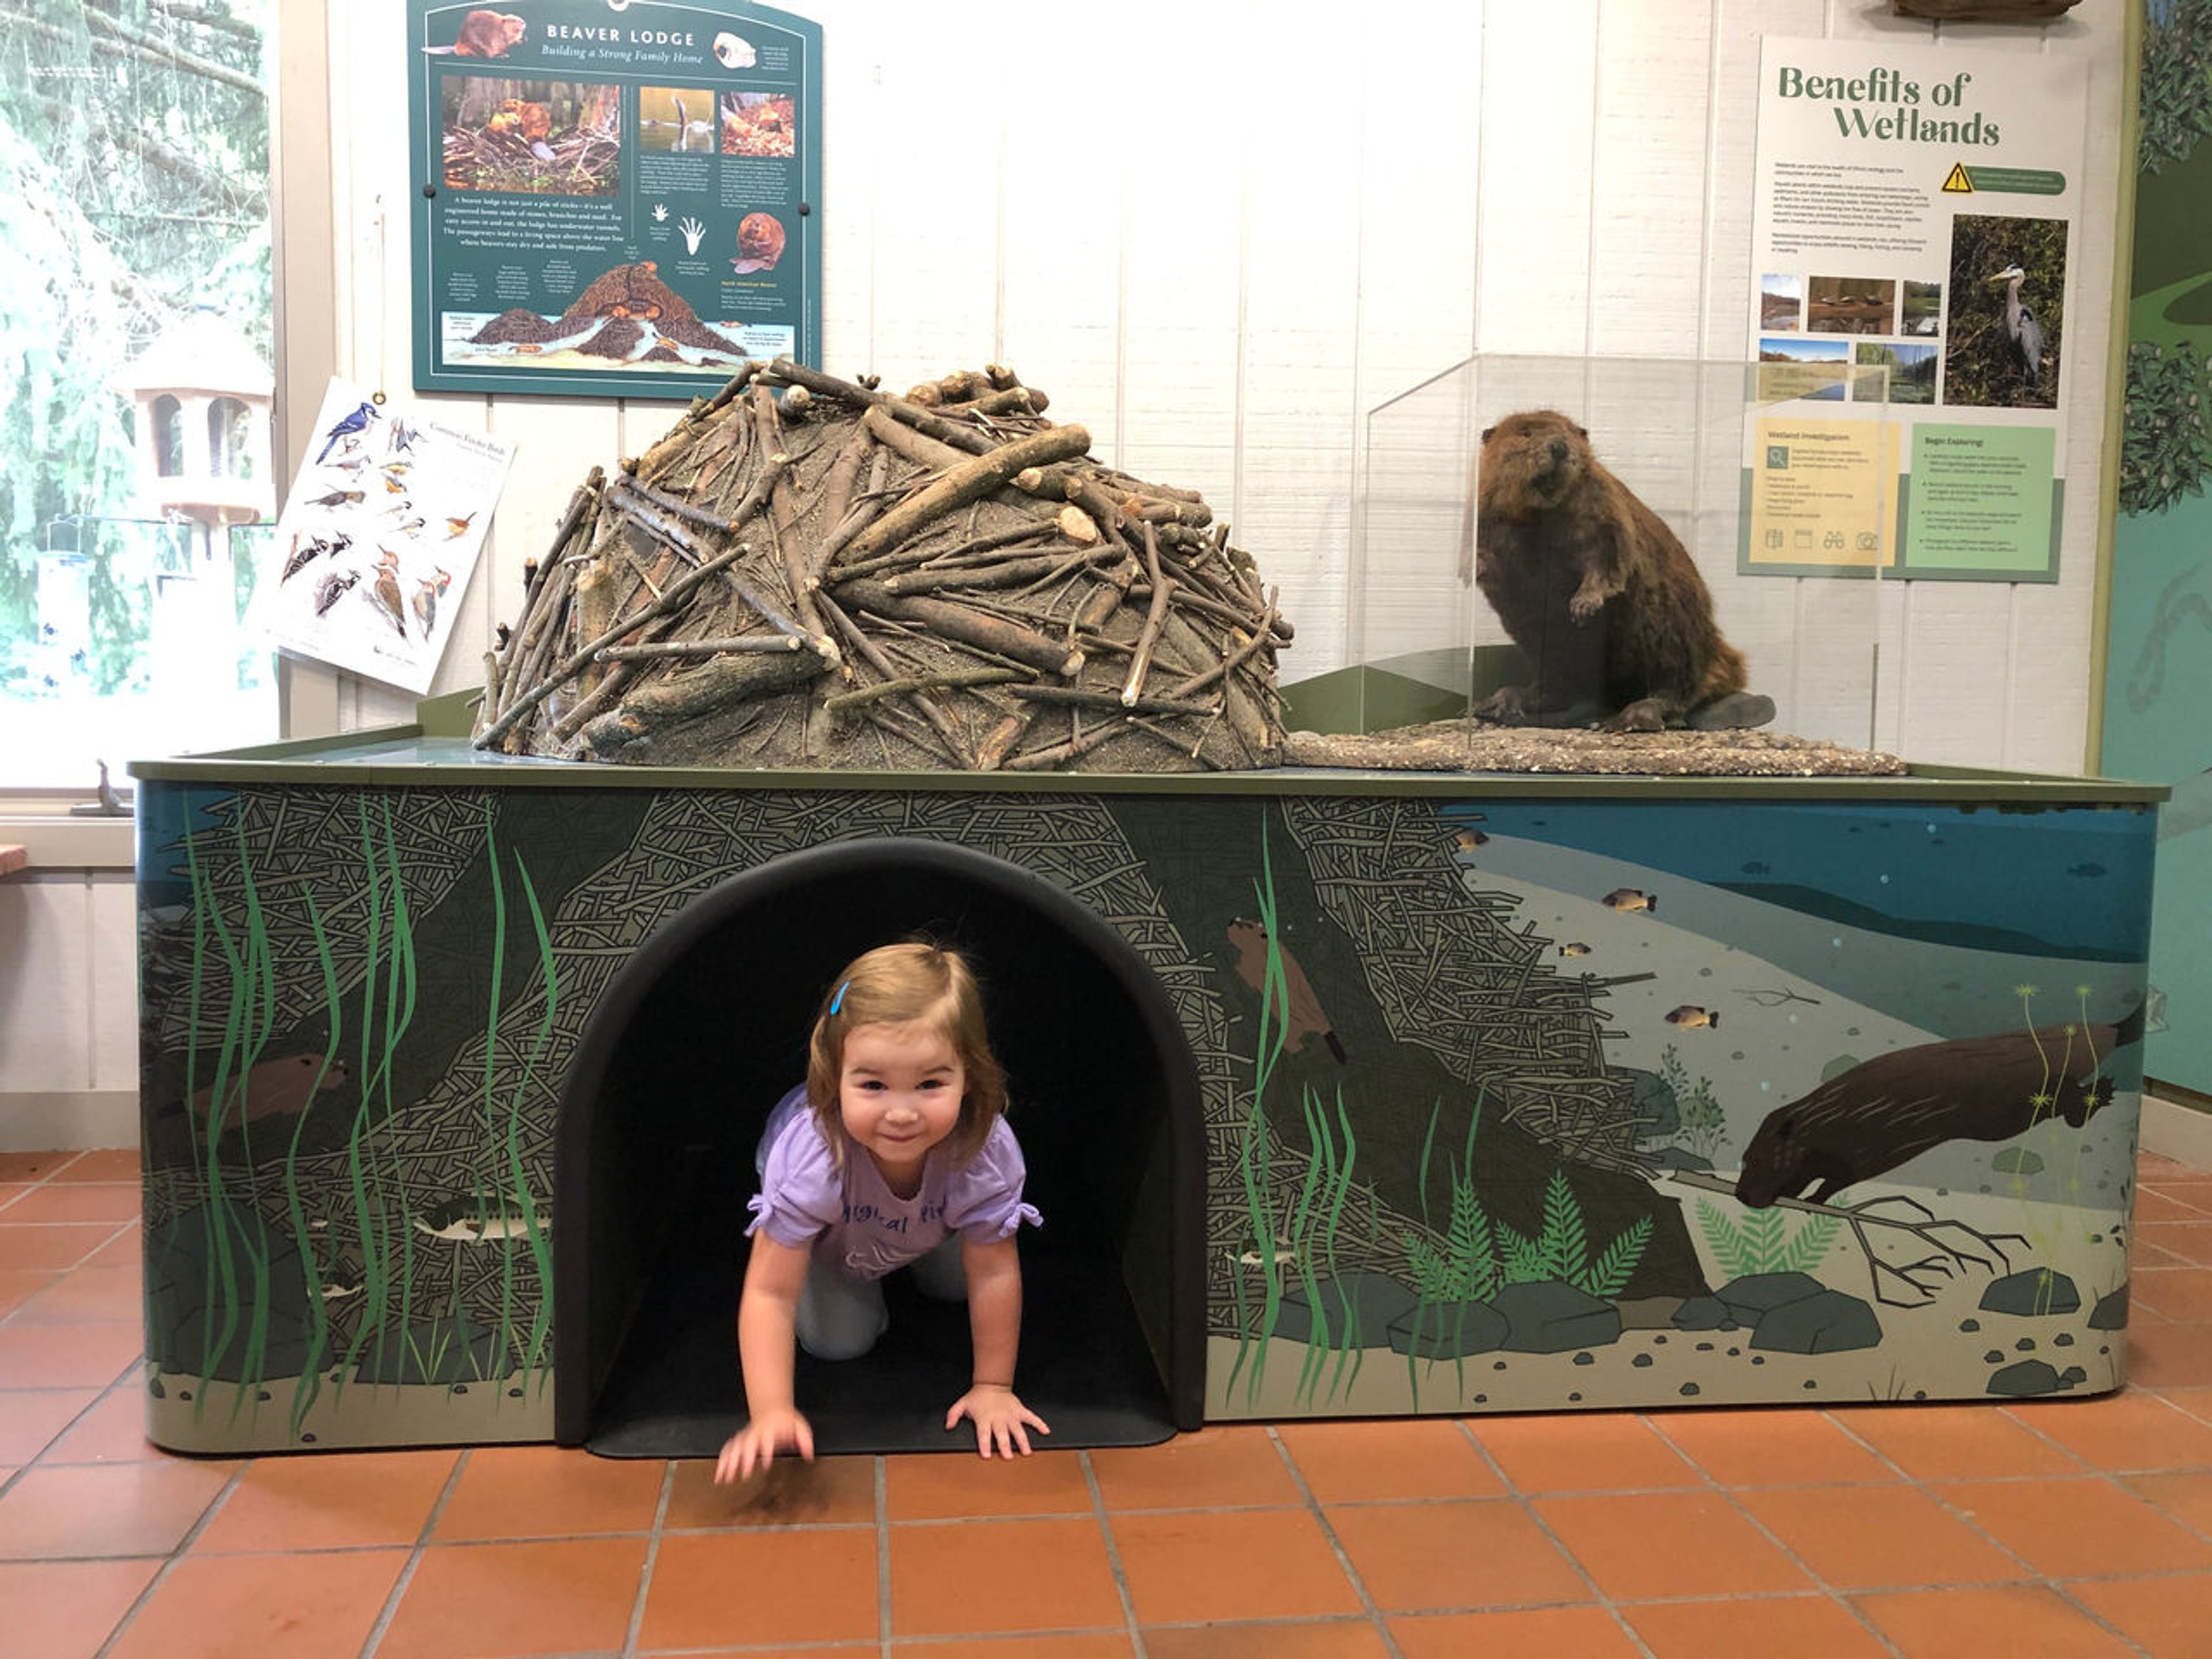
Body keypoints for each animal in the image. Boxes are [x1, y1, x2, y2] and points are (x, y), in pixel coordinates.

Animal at [1478, 414, 1770, 730]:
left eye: (1570, 433)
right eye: (1525, 433)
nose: (1559, 447)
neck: (1543, 515)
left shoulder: (1604, 506)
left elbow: (1607, 558)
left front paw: (1583, 605)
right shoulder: (1488, 511)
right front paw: (1480, 568)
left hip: (1675, 636)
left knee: (1677, 689)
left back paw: (1629, 718)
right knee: (1560, 688)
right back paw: (1498, 703)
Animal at [1743, 999, 2141, 1212]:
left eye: (1758, 1161)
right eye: (1746, 1159)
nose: (1744, 1196)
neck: (1826, 1116)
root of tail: (2110, 1030)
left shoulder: (1862, 1145)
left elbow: (1841, 1175)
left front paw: (1817, 1197)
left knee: (2068, 1102)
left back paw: (2103, 1090)